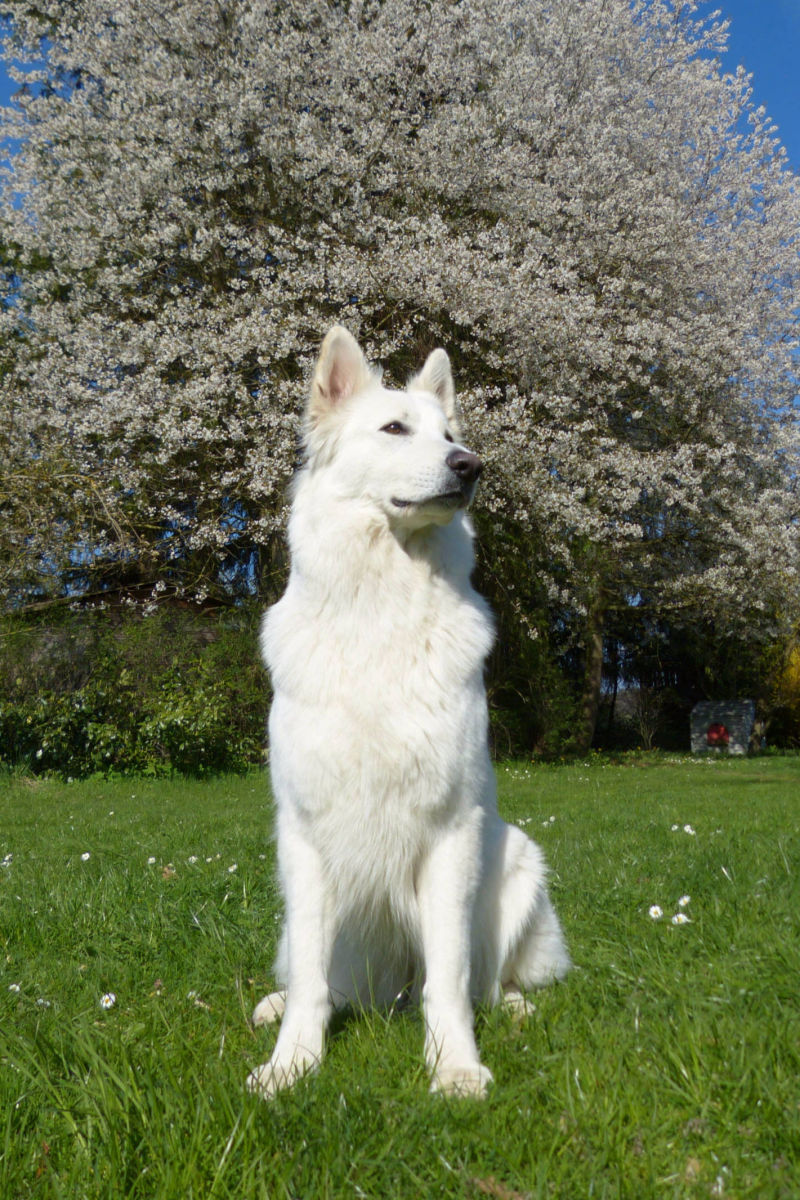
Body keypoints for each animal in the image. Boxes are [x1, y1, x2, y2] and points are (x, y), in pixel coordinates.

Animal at [250, 326, 568, 1099]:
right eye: (395, 429)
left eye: (450, 435)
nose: (471, 465)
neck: (379, 613)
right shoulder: (305, 835)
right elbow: (312, 980)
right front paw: (293, 1062)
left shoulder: (450, 833)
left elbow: (448, 977)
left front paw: (454, 1065)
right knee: (318, 977)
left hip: (517, 859)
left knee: (491, 981)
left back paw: (512, 1008)